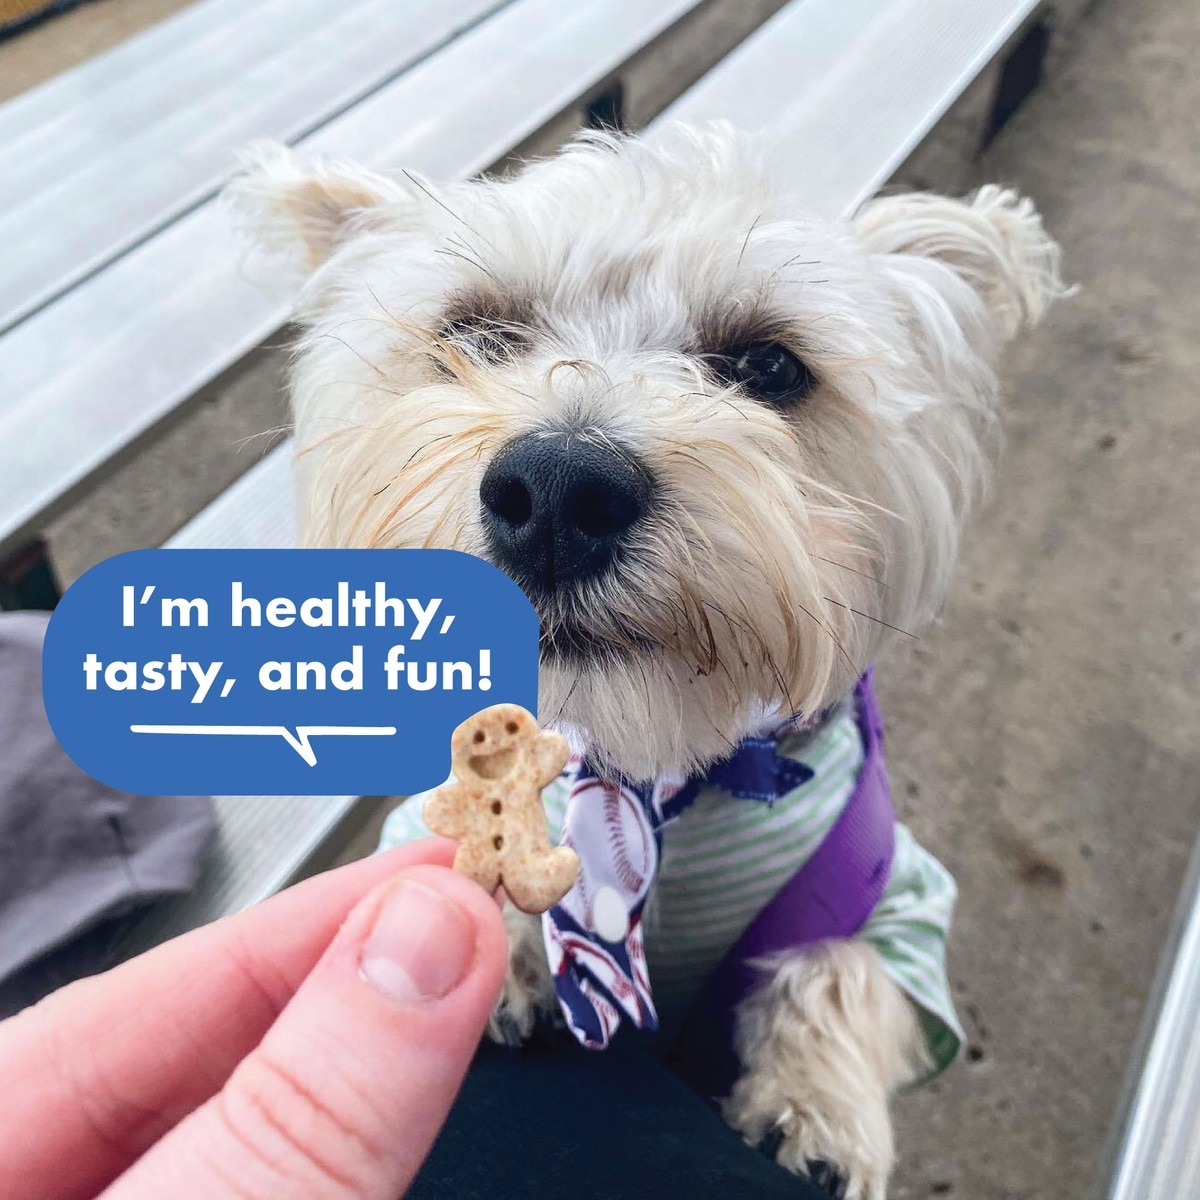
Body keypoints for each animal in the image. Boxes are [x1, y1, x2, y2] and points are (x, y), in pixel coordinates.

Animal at [227, 124, 1061, 1199]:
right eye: (477, 333)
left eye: (770, 365)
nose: (556, 490)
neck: (645, 761)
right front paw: (507, 944)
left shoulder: (902, 901)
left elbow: (842, 970)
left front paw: (817, 1113)